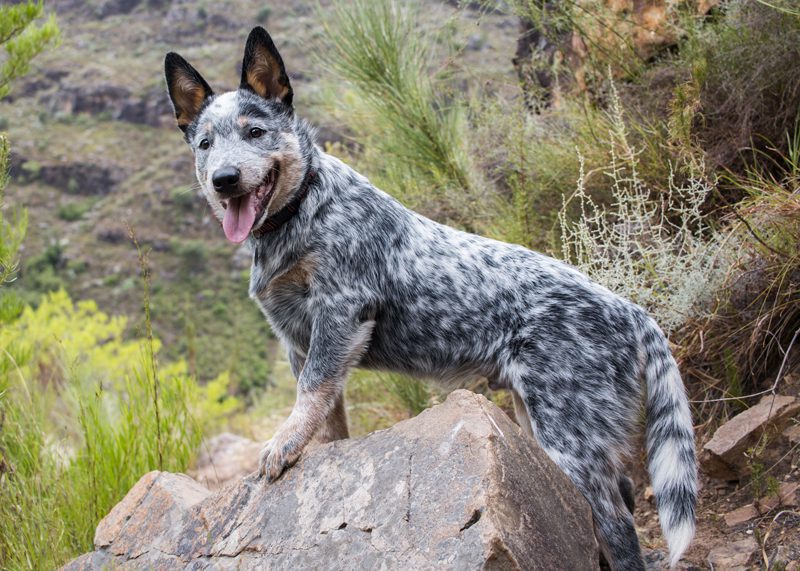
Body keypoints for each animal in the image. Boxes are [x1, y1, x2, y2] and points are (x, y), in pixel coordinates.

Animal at [166, 25, 696, 568]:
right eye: (205, 143)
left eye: (255, 132)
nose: (223, 180)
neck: (303, 210)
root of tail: (631, 311)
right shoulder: (298, 339)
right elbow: (327, 416)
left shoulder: (340, 312)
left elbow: (310, 392)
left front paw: (282, 444)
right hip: (539, 423)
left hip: (571, 438)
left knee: (619, 524)